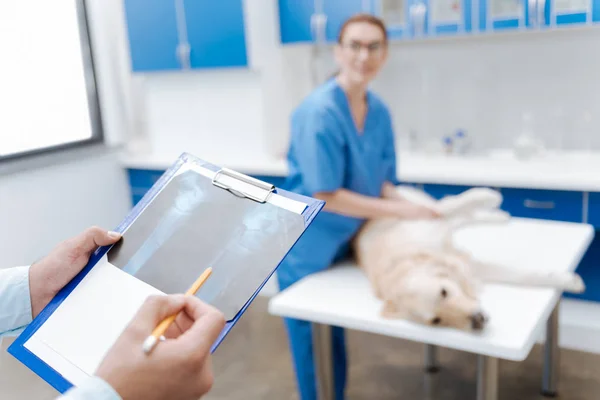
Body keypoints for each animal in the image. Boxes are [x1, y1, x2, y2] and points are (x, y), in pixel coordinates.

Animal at [354, 187, 584, 332]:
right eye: (437, 320)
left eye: (444, 291)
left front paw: (489, 195)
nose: (477, 321)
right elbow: (522, 276)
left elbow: (454, 205)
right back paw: (497, 215)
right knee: (459, 216)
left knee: (451, 206)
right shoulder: (472, 268)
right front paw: (569, 280)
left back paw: (494, 210)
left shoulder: (426, 221)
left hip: (415, 204)